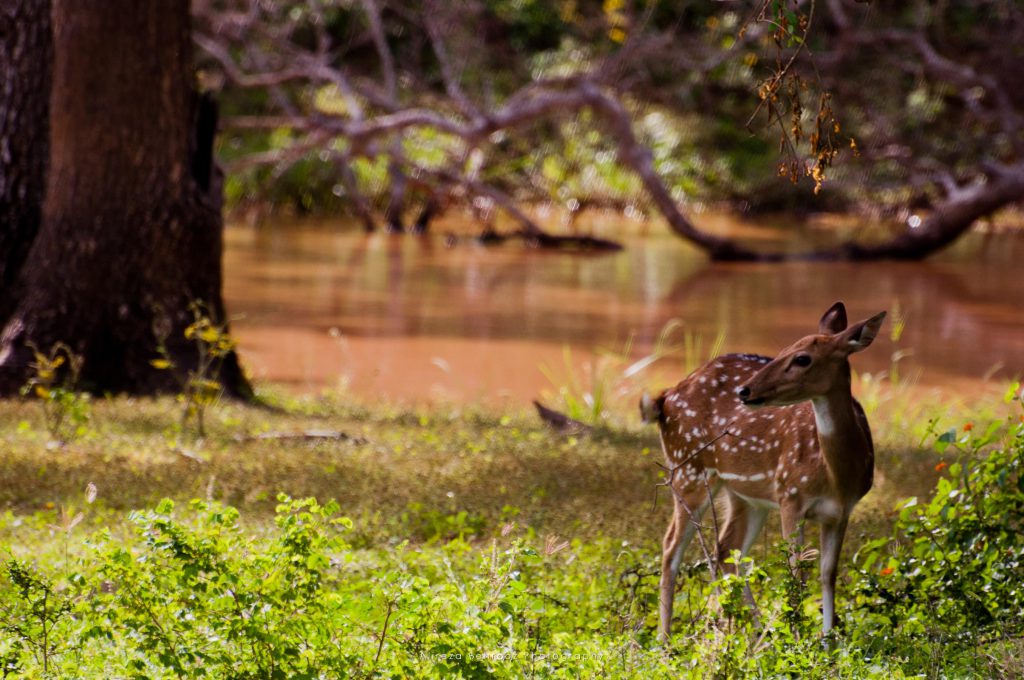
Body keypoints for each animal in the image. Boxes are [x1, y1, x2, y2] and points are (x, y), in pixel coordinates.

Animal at [638, 303, 888, 643]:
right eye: (782, 351)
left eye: (802, 358)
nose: (745, 390)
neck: (837, 476)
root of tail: (664, 398)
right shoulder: (790, 495)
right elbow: (795, 571)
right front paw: (797, 640)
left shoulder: (842, 512)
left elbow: (828, 574)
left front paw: (826, 643)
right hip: (689, 468)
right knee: (671, 548)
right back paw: (666, 641)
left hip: (745, 495)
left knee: (727, 550)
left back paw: (752, 634)